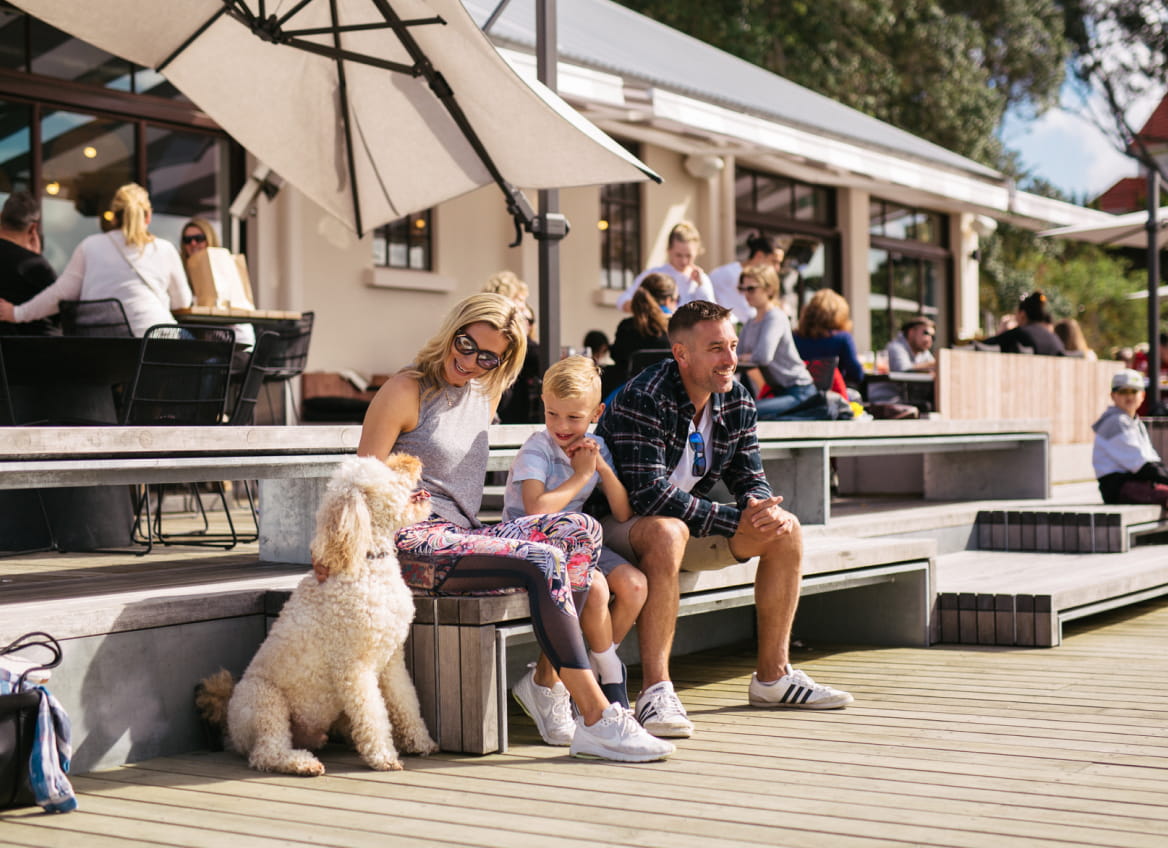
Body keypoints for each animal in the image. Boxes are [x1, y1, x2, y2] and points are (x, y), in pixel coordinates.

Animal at [196, 457, 439, 775]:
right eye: (386, 474)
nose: (412, 460)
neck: (367, 562)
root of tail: (229, 723)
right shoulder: (353, 668)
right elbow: (373, 714)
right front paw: (383, 756)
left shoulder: (392, 660)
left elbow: (406, 702)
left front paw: (420, 742)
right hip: (266, 702)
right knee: (265, 754)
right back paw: (302, 763)